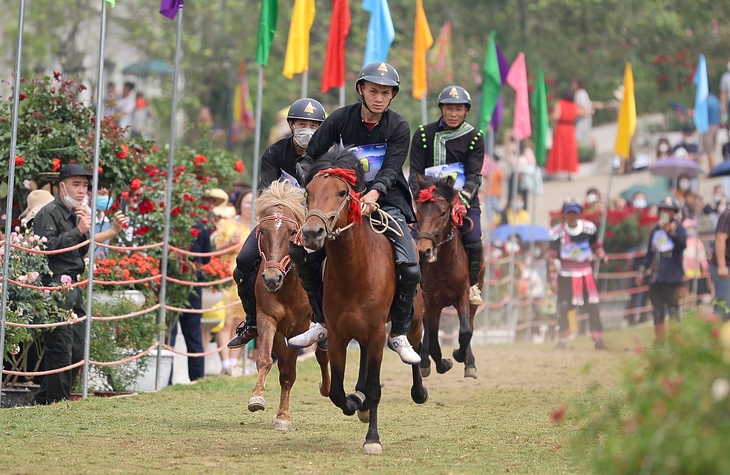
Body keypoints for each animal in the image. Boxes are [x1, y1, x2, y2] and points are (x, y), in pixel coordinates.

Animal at [249, 181, 332, 432]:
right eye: (262, 231)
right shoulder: (267, 319)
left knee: (322, 354)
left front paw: (283, 417)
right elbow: (266, 360)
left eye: (292, 232)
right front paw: (257, 397)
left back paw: (326, 388)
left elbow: (288, 373)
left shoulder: (299, 327)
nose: (271, 278)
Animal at [300, 151, 426, 456]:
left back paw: (419, 389)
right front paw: (355, 402)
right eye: (308, 192)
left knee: (417, 348)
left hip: (413, 319)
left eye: (342, 192)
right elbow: (337, 392)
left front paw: (373, 439)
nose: (312, 233)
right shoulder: (338, 334)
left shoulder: (377, 333)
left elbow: (375, 387)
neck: (354, 271)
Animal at [416, 175, 484, 380]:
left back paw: (469, 363)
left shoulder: (461, 296)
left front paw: (459, 355)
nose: (424, 251)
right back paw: (424, 362)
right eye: (418, 210)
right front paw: (441, 363)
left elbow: (466, 331)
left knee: (469, 324)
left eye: (443, 212)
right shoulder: (430, 301)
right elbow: (433, 338)